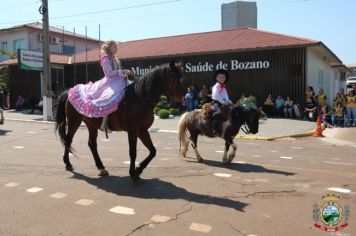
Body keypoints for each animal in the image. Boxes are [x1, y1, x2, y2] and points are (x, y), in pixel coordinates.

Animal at [56, 61, 184, 181]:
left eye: (181, 79)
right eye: (173, 80)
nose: (179, 103)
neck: (138, 98)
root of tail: (69, 91)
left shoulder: (142, 130)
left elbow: (153, 151)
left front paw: (139, 169)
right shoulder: (133, 131)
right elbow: (133, 152)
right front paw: (133, 173)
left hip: (91, 125)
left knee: (92, 144)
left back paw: (101, 167)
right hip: (74, 121)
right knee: (68, 140)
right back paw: (68, 163)